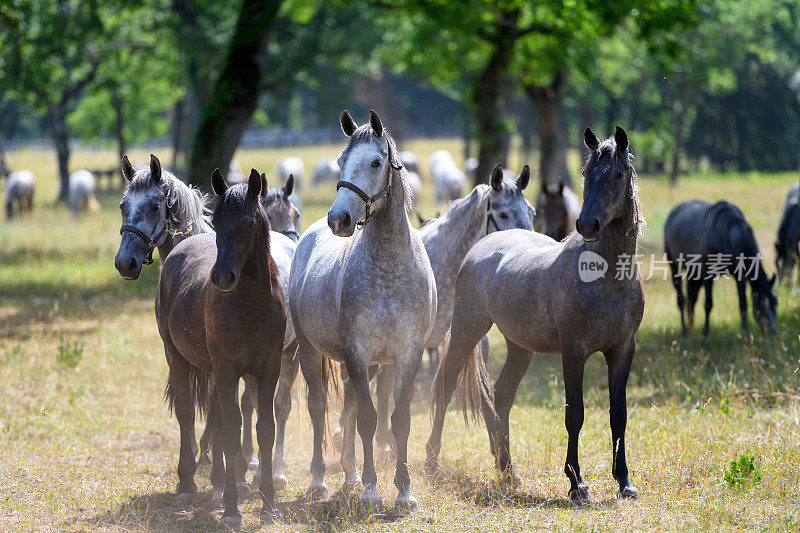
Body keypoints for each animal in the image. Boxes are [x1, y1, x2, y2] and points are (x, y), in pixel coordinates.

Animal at [155, 169, 286, 524]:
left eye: (249, 222)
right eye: (217, 220)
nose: (222, 277)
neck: (251, 305)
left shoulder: (268, 370)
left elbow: (264, 429)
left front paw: (268, 503)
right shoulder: (228, 371)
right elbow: (230, 431)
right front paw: (231, 508)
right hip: (176, 358)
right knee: (187, 414)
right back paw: (187, 485)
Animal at [290, 110, 438, 510]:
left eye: (375, 162)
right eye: (341, 161)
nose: (338, 219)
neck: (387, 270)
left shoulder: (406, 354)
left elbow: (397, 419)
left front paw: (404, 492)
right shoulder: (356, 352)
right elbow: (370, 420)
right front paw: (373, 491)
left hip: (365, 366)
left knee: (351, 407)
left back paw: (350, 475)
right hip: (311, 351)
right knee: (319, 407)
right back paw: (320, 481)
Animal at [428, 127, 648, 500]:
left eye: (618, 174)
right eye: (587, 173)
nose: (587, 224)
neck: (606, 277)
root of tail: (481, 247)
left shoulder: (622, 350)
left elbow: (618, 415)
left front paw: (625, 483)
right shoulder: (574, 352)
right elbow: (575, 415)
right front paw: (577, 483)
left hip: (520, 347)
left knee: (501, 397)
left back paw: (507, 471)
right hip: (466, 331)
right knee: (445, 386)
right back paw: (431, 463)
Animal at [664, 197, 780, 334]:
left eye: (775, 303)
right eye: (761, 305)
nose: (773, 332)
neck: (728, 233)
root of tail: (674, 211)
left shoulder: (740, 275)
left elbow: (743, 304)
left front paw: (746, 332)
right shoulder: (708, 275)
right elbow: (708, 304)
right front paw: (705, 333)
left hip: (695, 273)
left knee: (691, 300)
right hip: (674, 265)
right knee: (681, 299)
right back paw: (684, 329)